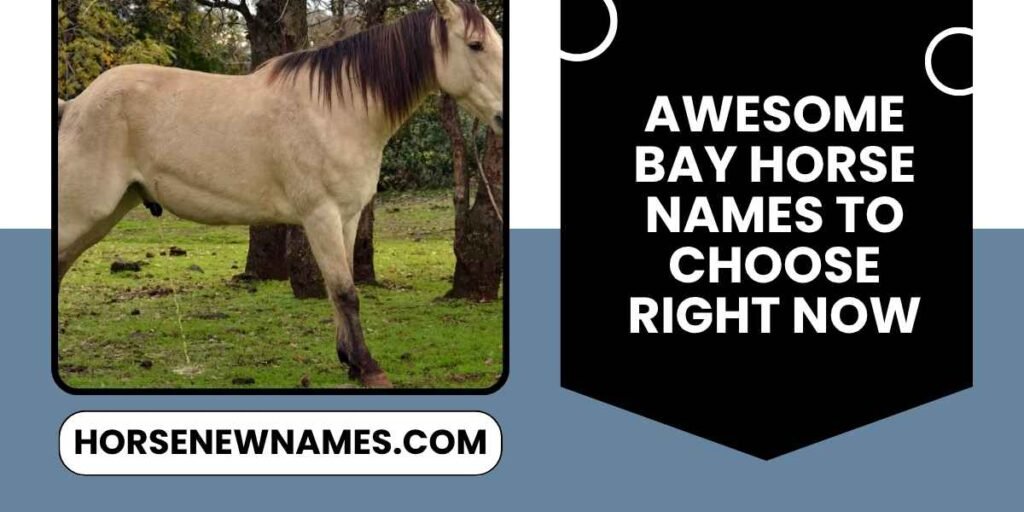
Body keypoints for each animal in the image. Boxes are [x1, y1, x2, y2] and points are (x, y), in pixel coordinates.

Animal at [56, 0, 503, 389]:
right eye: (475, 45)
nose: (503, 115)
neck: (338, 111)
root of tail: (74, 106)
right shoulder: (321, 216)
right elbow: (345, 291)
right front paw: (370, 368)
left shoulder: (348, 217)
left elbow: (339, 289)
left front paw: (351, 362)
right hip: (81, 214)